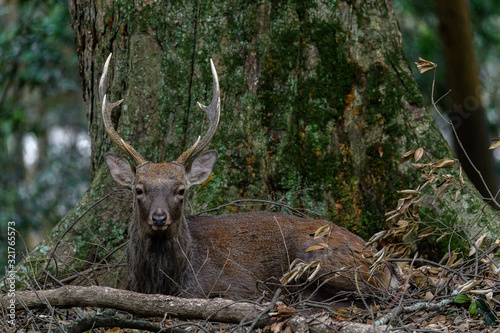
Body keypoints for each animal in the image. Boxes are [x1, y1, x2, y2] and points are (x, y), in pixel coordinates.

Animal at [99, 53, 396, 298]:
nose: (159, 217)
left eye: (181, 190)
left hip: (318, 259)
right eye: (139, 189)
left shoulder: (238, 286)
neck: (165, 282)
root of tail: (382, 260)